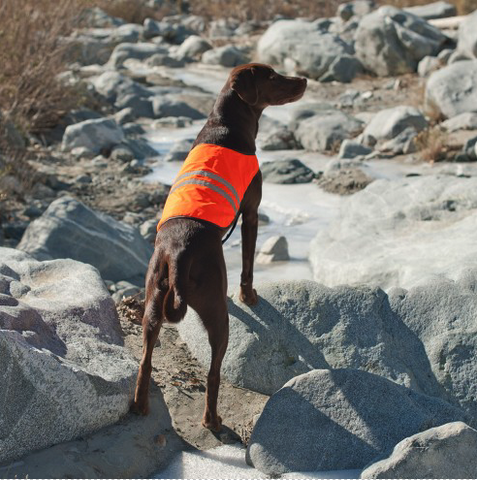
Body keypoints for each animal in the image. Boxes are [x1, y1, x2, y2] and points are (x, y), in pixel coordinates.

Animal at [132, 62, 306, 432]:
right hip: (216, 317)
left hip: (152, 305)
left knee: (145, 360)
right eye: (272, 76)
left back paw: (139, 405)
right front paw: (248, 297)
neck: (225, 122)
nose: (303, 79)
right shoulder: (251, 212)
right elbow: (248, 266)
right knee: (213, 374)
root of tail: (178, 254)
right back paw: (211, 420)